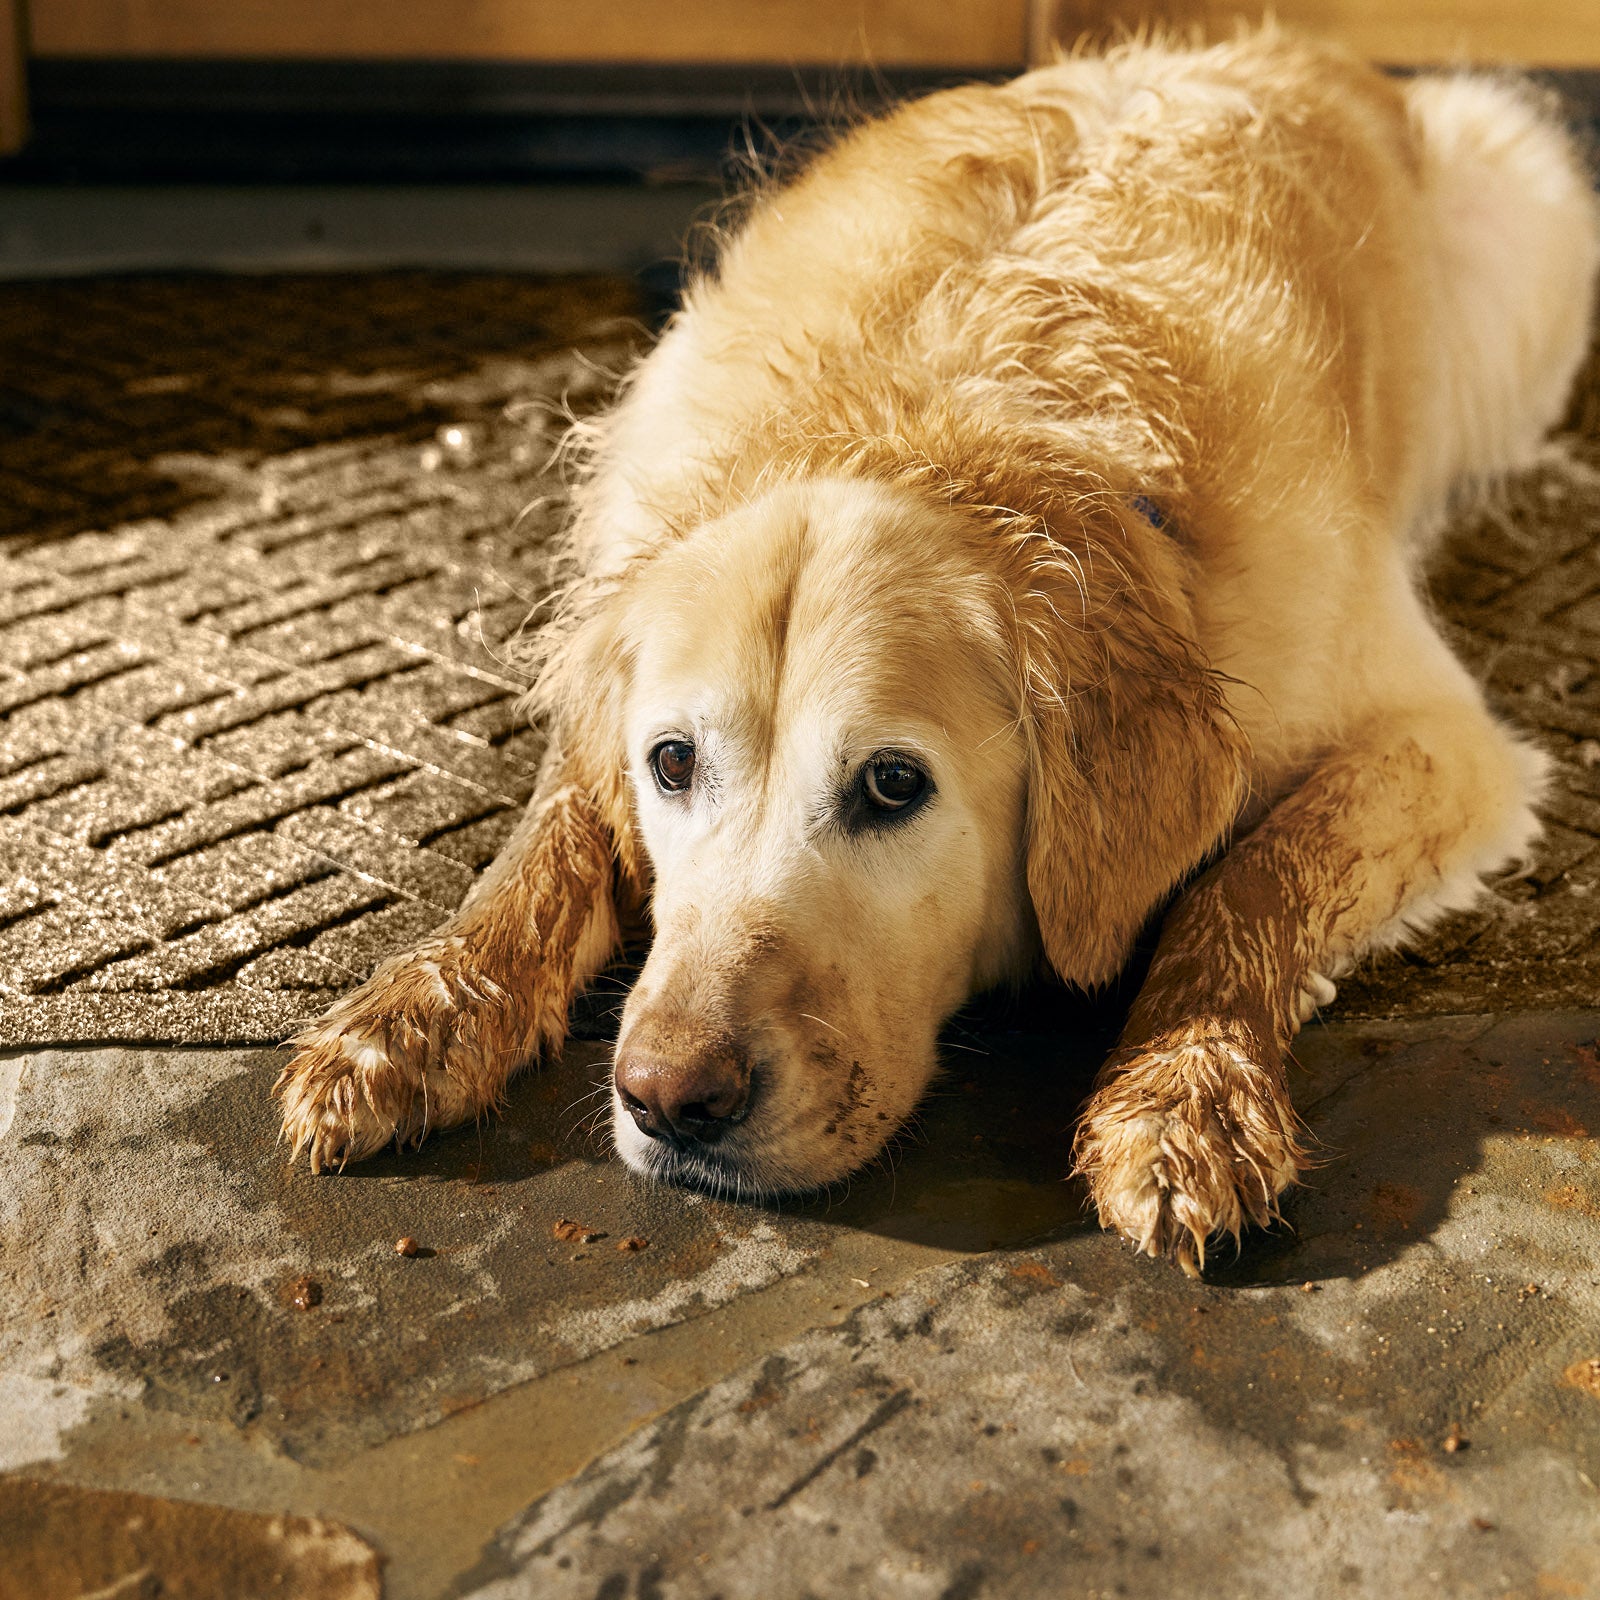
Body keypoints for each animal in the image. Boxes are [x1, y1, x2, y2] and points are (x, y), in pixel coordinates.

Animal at [278, 28, 1600, 1273]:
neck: (941, 416)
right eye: (670, 762)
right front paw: (413, 1010)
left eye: (890, 785)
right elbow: (543, 840)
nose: (668, 1099)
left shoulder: (1442, 740)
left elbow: (1256, 874)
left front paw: (1185, 1092)